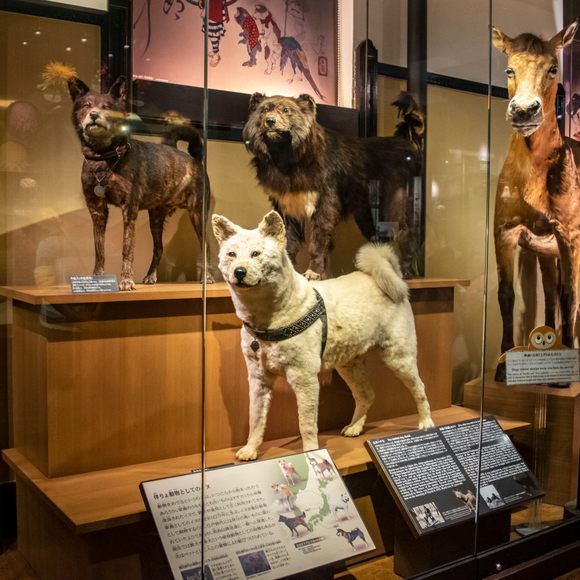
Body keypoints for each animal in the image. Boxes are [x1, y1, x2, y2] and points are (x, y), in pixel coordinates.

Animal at [67, 74, 213, 290]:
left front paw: (126, 280)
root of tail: (195, 160)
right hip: (156, 218)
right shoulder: (97, 211)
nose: (93, 115)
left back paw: (208, 277)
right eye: (87, 105)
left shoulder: (129, 211)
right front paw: (97, 279)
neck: (105, 158)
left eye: (107, 107)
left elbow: (127, 250)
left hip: (198, 214)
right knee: (159, 248)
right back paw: (151, 276)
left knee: (206, 246)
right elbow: (99, 250)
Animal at [211, 211, 432, 460]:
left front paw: (311, 454)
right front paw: (250, 449)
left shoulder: (304, 377)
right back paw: (355, 427)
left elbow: (306, 424)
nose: (239, 272)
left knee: (420, 388)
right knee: (367, 395)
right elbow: (256, 419)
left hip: (399, 357)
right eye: (231, 254)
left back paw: (426, 423)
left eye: (256, 253)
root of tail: (385, 276)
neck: (268, 319)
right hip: (349, 364)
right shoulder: (258, 378)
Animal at [242, 92, 424, 280]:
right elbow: (289, 241)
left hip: (397, 204)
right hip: (365, 211)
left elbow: (319, 241)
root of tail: (405, 142)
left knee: (406, 234)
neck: (288, 157)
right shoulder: (287, 208)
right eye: (264, 110)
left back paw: (406, 272)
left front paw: (314, 272)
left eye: (286, 110)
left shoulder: (325, 204)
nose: (270, 121)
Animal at [490, 20, 580, 380]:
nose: (525, 110)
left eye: (553, 67)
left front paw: (568, 369)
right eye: (509, 68)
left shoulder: (569, 235)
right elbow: (507, 294)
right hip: (545, 253)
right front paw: (503, 364)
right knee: (551, 294)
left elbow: (571, 295)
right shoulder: (505, 232)